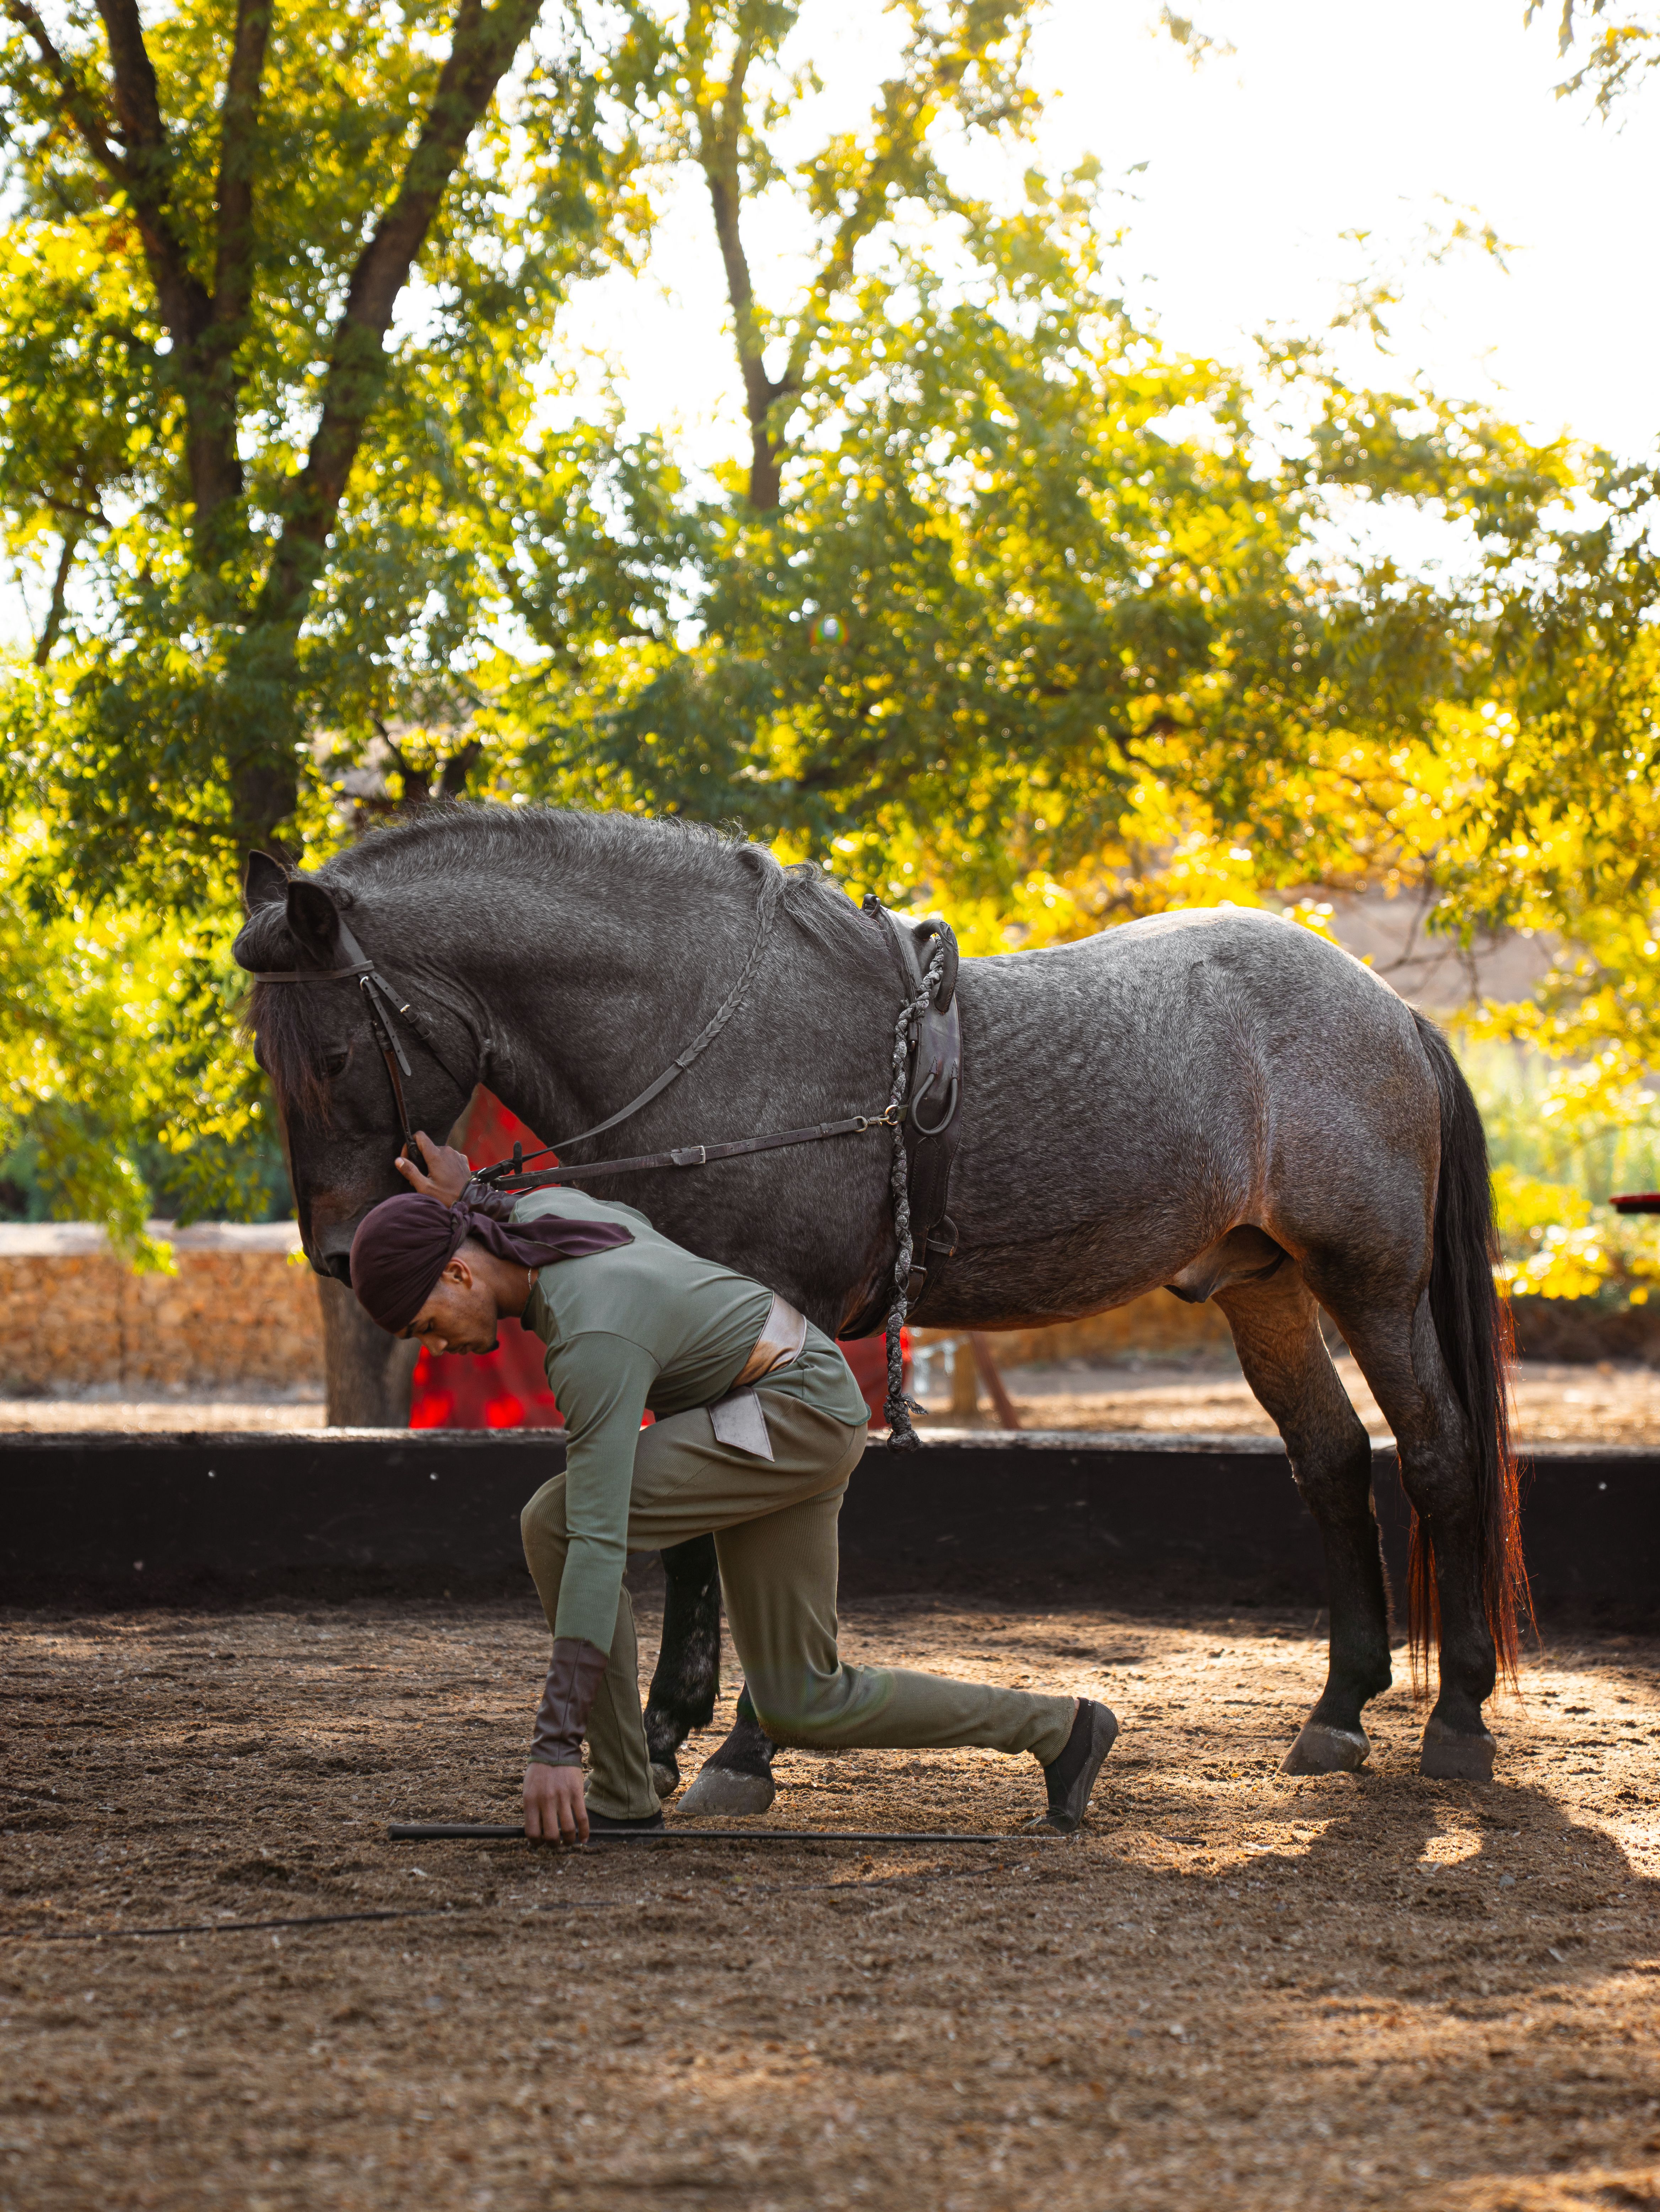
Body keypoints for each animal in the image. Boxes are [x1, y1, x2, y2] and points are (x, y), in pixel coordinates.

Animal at [234, 803, 1526, 1811]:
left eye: (335, 1055)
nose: (340, 1253)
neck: (707, 1026)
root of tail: (1385, 1009)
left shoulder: (777, 1319)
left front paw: (739, 1750)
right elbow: (691, 1537)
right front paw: (667, 1733)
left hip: (1372, 1283)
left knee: (1437, 1457)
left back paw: (1457, 1715)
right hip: (1263, 1288)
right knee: (1332, 1461)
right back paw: (1341, 1708)